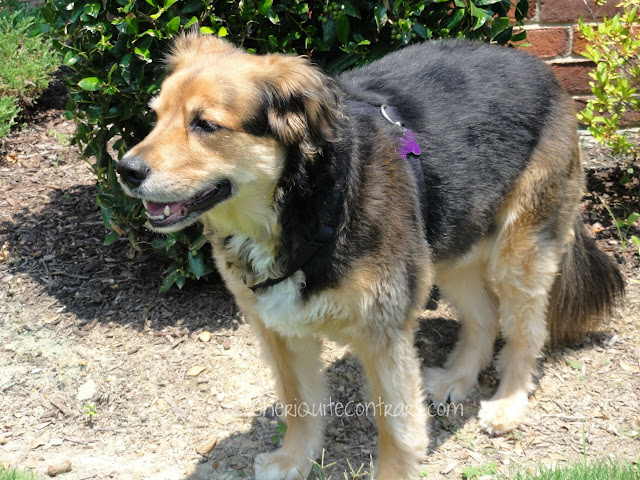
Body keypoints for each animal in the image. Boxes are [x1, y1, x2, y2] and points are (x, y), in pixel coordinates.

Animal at [117, 31, 624, 478]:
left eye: (206, 124)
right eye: (156, 116)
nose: (126, 170)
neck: (307, 202)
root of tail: (540, 68)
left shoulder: (382, 332)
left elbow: (396, 430)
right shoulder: (278, 326)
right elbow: (299, 403)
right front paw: (294, 460)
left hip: (519, 251)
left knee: (527, 330)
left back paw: (508, 403)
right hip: (449, 240)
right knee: (484, 315)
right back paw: (458, 377)